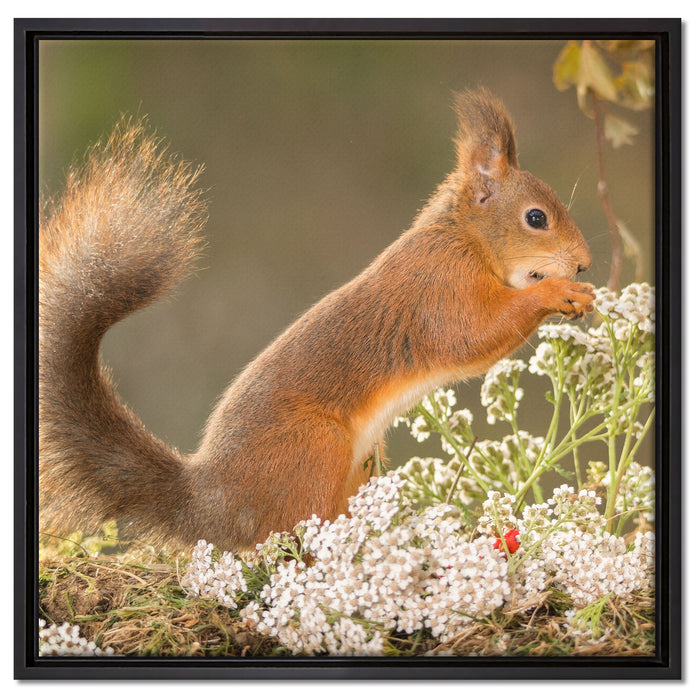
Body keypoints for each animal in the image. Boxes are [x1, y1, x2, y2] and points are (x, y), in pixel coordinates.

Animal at [39, 88, 595, 551]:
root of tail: (210, 504)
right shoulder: (439, 288)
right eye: (536, 218)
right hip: (313, 450)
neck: (463, 237)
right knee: (292, 538)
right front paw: (556, 292)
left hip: (361, 464)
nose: (585, 264)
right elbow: (471, 336)